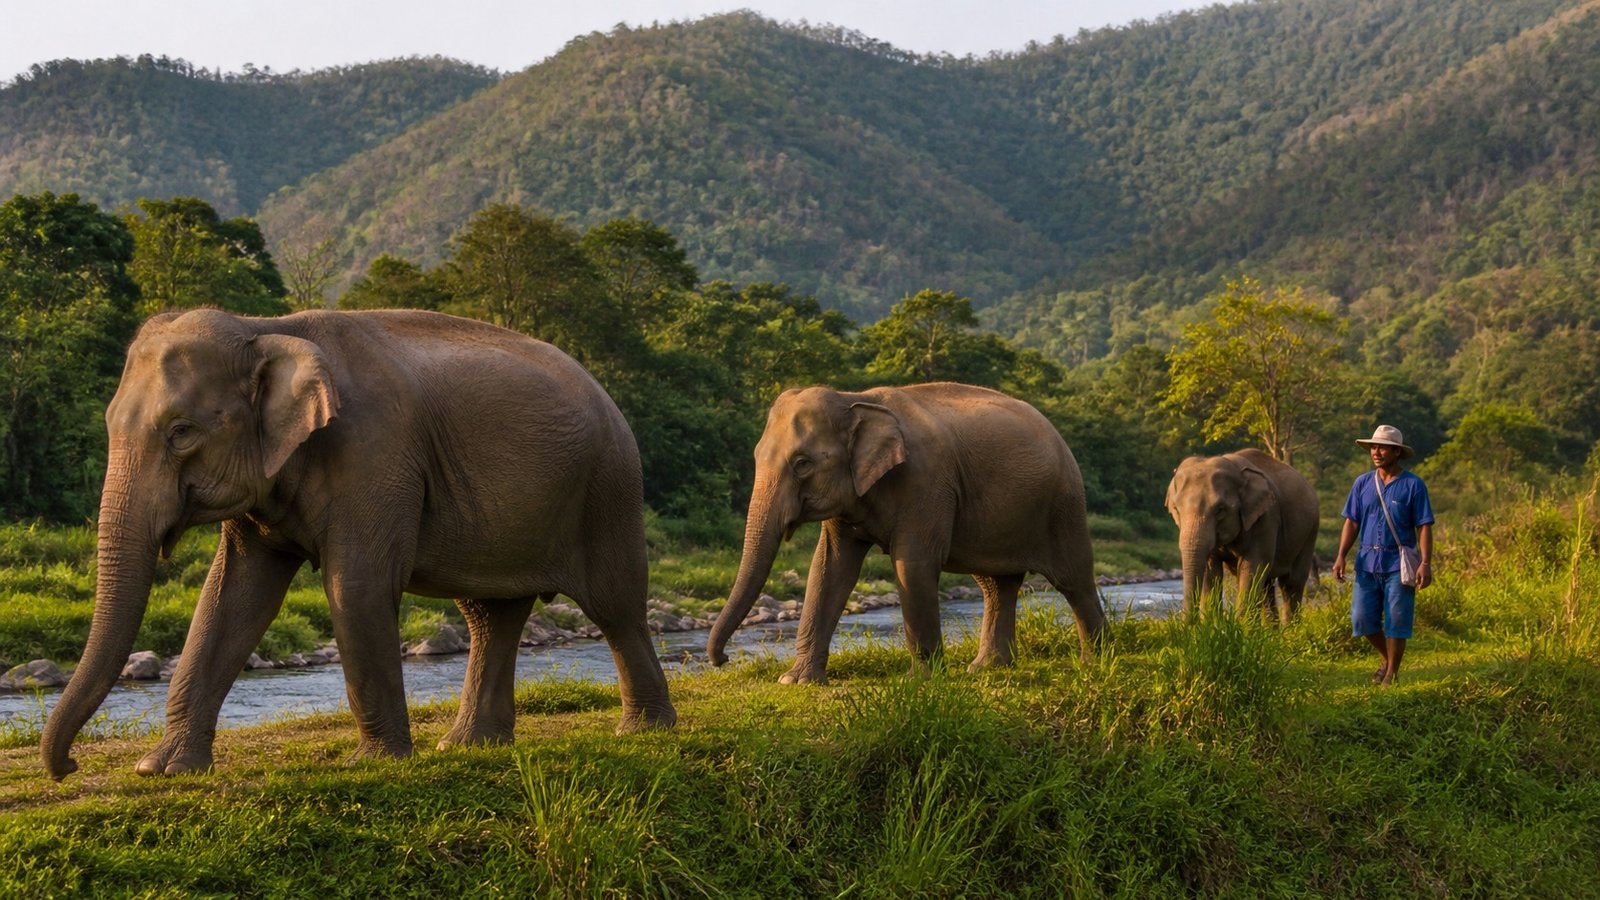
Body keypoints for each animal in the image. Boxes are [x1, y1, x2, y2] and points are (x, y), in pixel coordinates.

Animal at [42, 308, 675, 780]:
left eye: (181, 432)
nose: (68, 768)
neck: (264, 327)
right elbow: (231, 595)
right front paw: (164, 770)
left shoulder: (375, 454)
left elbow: (357, 586)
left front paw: (374, 763)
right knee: (489, 614)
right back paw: (467, 747)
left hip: (609, 488)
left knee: (615, 606)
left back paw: (644, 730)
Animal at [706, 383, 1108, 684]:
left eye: (802, 464)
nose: (723, 660)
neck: (854, 399)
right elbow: (829, 567)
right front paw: (797, 680)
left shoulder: (926, 481)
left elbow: (912, 565)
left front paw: (922, 681)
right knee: (995, 585)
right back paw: (985, 668)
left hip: (1064, 504)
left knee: (1073, 580)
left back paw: (1097, 661)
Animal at [1164, 448, 1320, 623]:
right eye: (1176, 509)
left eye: (1220, 509)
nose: (1189, 625)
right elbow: (1212, 569)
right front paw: (1211, 625)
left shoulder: (1267, 518)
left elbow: (1252, 567)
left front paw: (1239, 628)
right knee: (1266, 586)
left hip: (1310, 531)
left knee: (1292, 583)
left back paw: (1290, 630)